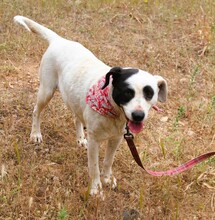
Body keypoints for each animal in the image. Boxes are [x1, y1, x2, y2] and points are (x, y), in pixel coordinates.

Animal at [13, 16, 168, 197]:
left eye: (149, 94)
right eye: (127, 92)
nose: (138, 116)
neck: (113, 112)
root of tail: (59, 40)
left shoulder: (116, 138)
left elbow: (108, 161)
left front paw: (107, 179)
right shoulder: (95, 141)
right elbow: (94, 167)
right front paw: (96, 188)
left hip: (74, 99)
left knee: (76, 117)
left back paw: (80, 138)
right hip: (46, 91)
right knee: (36, 111)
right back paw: (35, 134)